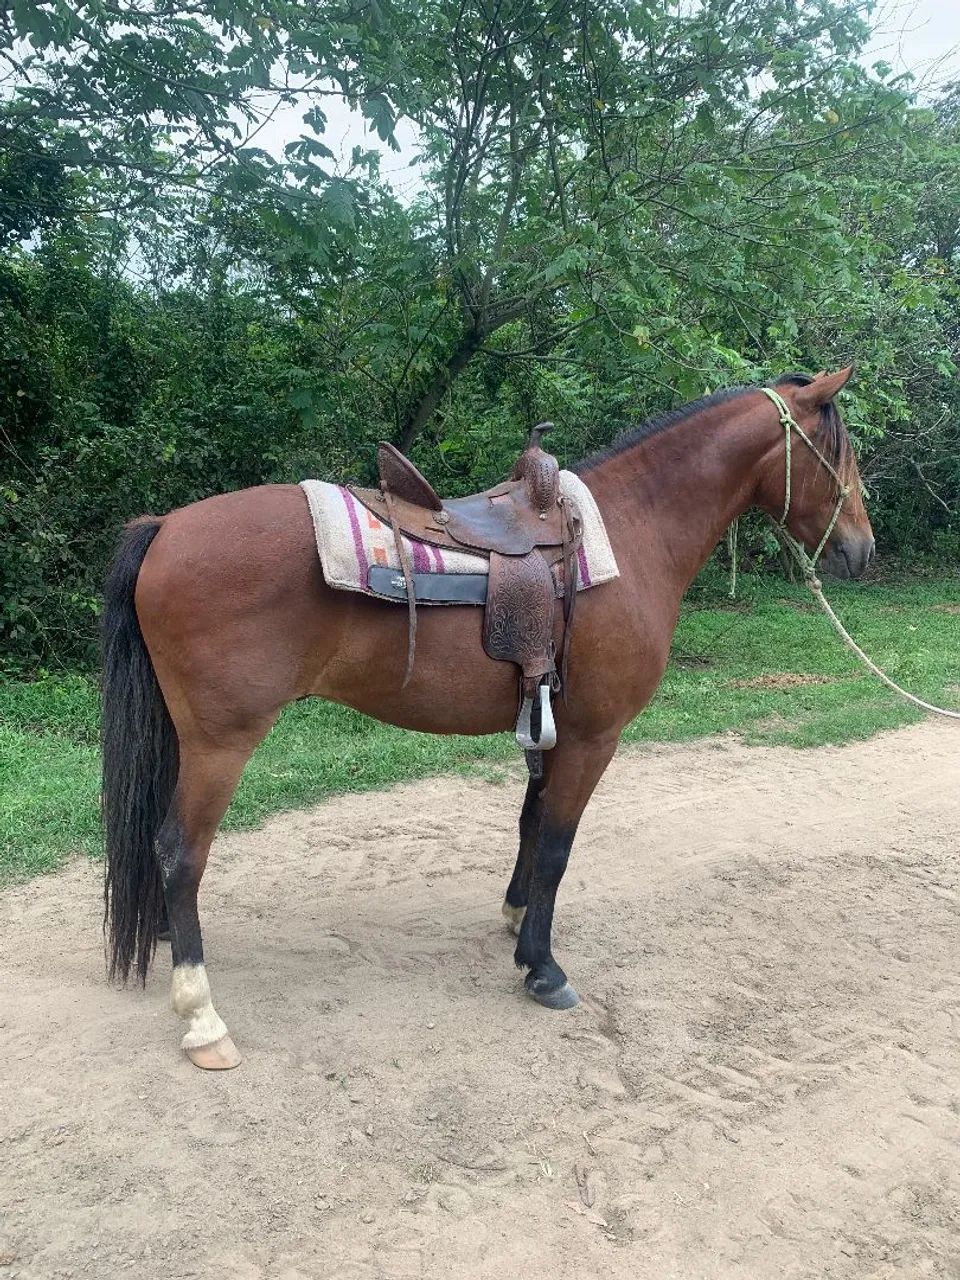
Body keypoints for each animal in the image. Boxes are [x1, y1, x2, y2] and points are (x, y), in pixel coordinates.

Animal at [101, 366, 874, 1069]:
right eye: (836, 452)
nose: (861, 549)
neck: (630, 534)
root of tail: (164, 527)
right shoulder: (593, 737)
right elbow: (558, 844)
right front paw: (544, 968)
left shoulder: (549, 723)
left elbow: (531, 825)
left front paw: (516, 917)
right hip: (221, 743)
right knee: (180, 851)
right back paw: (202, 1017)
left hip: (185, 737)